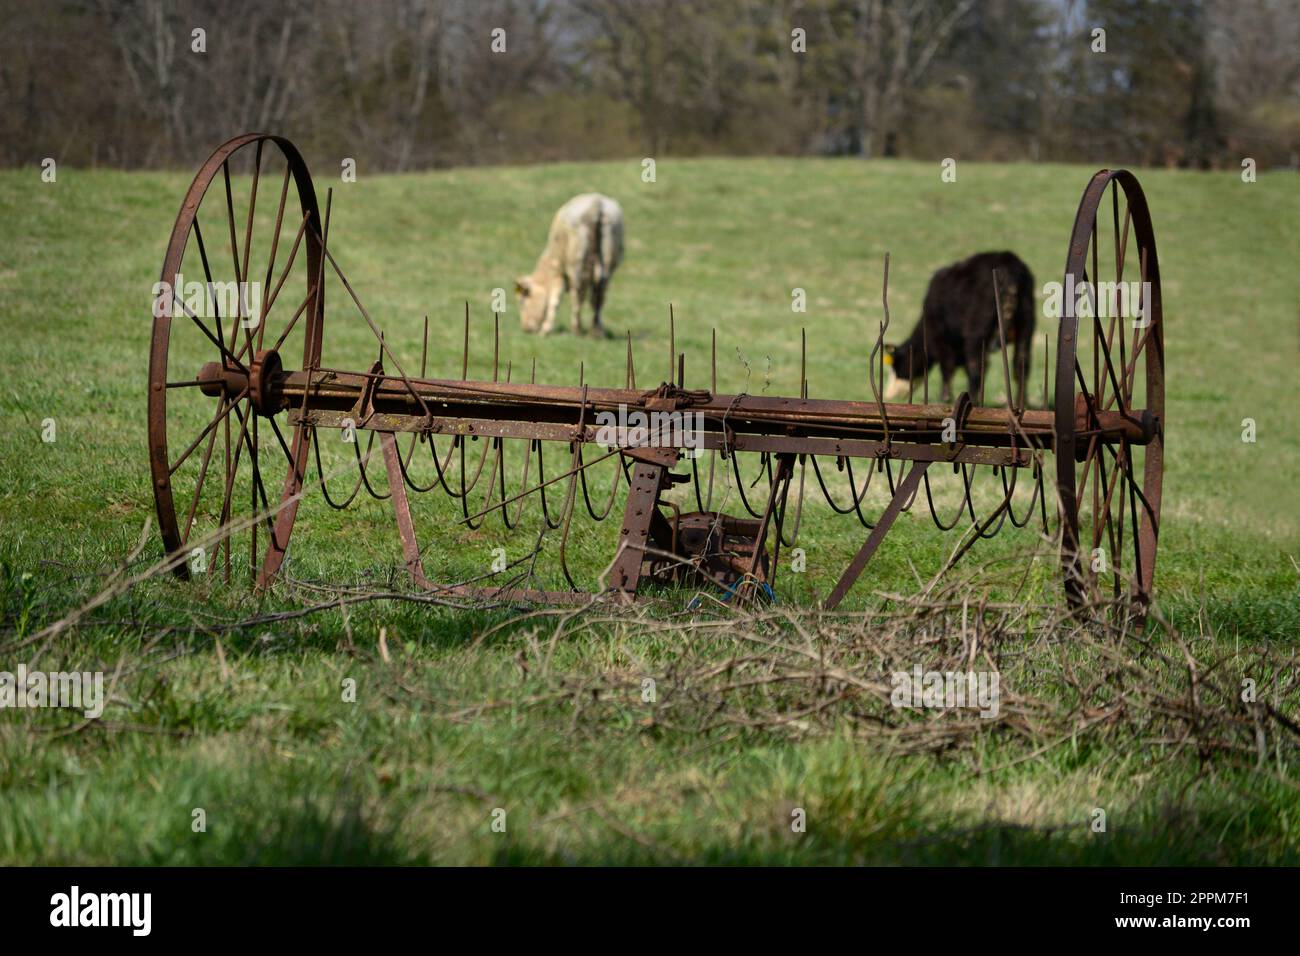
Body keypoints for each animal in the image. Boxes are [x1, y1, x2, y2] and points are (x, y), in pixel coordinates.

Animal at [516, 193, 624, 336]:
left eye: (522, 302)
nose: (526, 328)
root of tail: (596, 203)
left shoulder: (558, 272)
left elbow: (555, 299)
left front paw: (546, 329)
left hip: (576, 262)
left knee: (578, 296)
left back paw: (577, 328)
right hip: (608, 256)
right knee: (599, 295)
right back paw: (596, 330)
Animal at [884, 251, 1036, 407]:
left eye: (896, 366)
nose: (888, 395)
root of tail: (1009, 263)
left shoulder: (942, 339)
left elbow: (947, 367)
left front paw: (945, 398)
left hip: (977, 331)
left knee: (978, 366)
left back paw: (974, 400)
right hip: (1026, 324)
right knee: (1021, 362)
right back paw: (1021, 403)